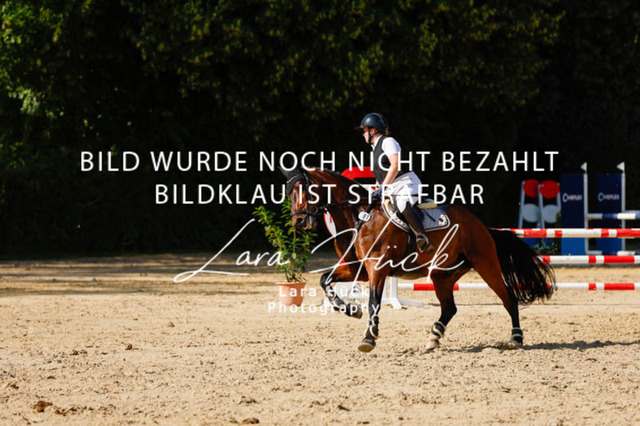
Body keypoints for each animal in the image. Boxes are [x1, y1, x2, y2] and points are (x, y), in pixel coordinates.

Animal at [282, 167, 555, 353]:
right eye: (289, 192)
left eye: (304, 190)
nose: (299, 221)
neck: (358, 216)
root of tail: (481, 226)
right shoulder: (356, 269)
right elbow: (325, 281)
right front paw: (350, 309)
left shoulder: (377, 268)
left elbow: (374, 302)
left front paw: (369, 338)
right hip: (442, 274)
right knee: (450, 308)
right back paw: (434, 337)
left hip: (486, 264)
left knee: (508, 298)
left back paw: (516, 338)